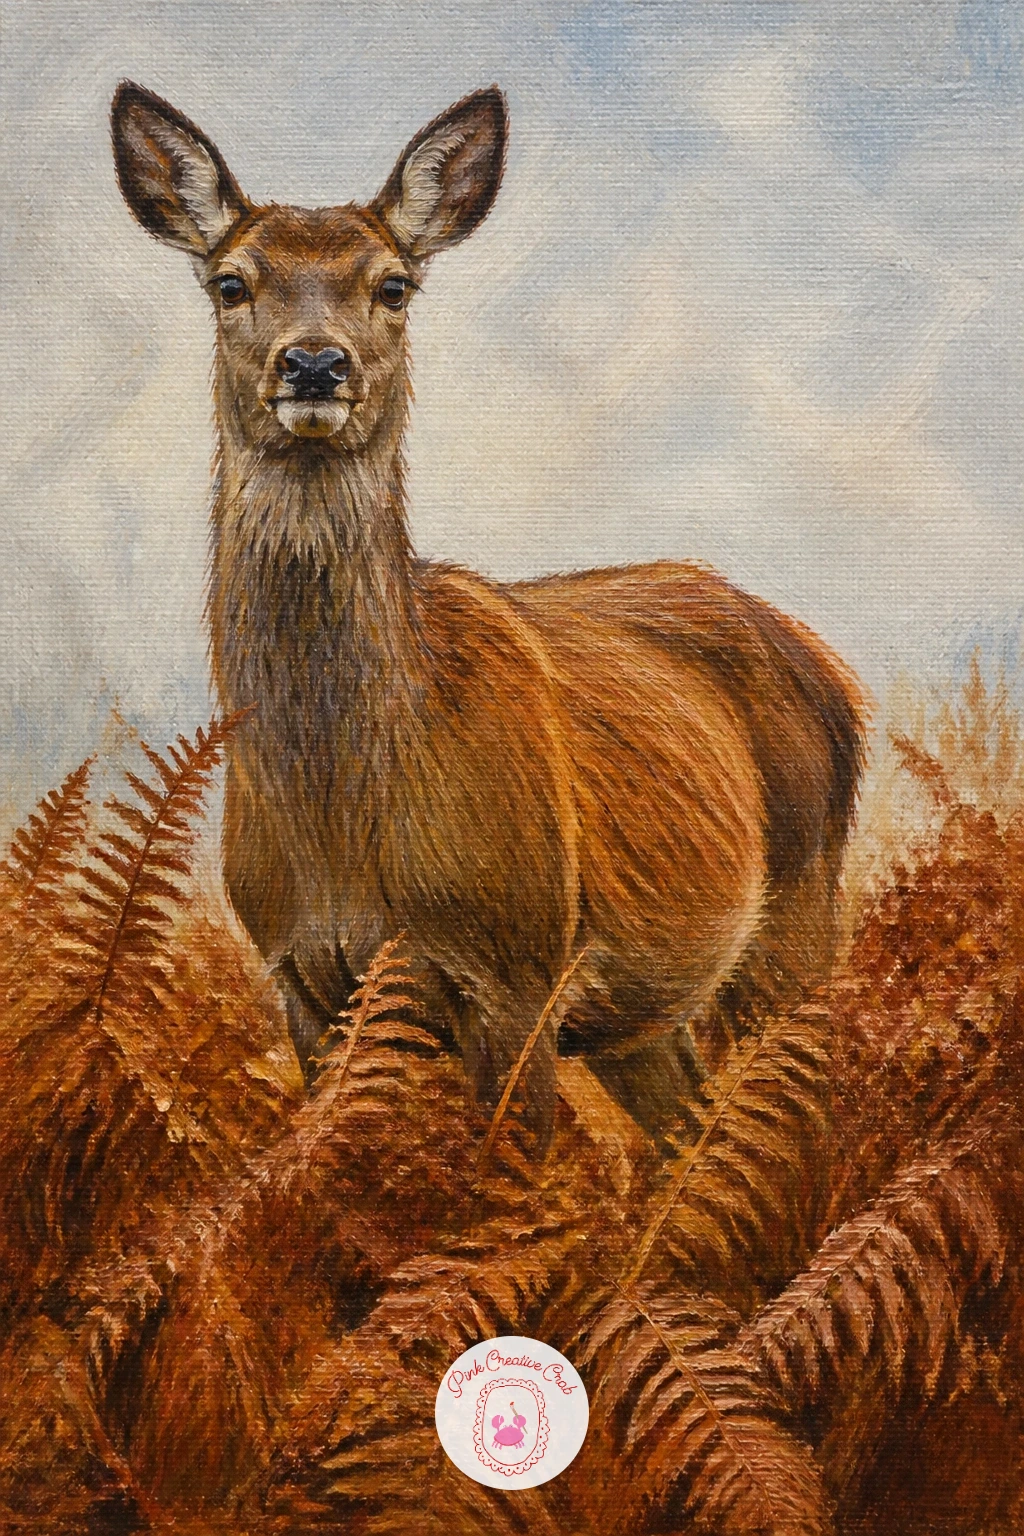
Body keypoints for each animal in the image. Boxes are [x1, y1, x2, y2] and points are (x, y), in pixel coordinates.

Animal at [110, 82, 866, 1150]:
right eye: (229, 282)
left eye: (393, 285)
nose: (315, 365)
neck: (343, 819)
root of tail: (833, 670)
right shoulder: (300, 981)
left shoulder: (519, 968)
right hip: (645, 1017)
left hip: (798, 905)